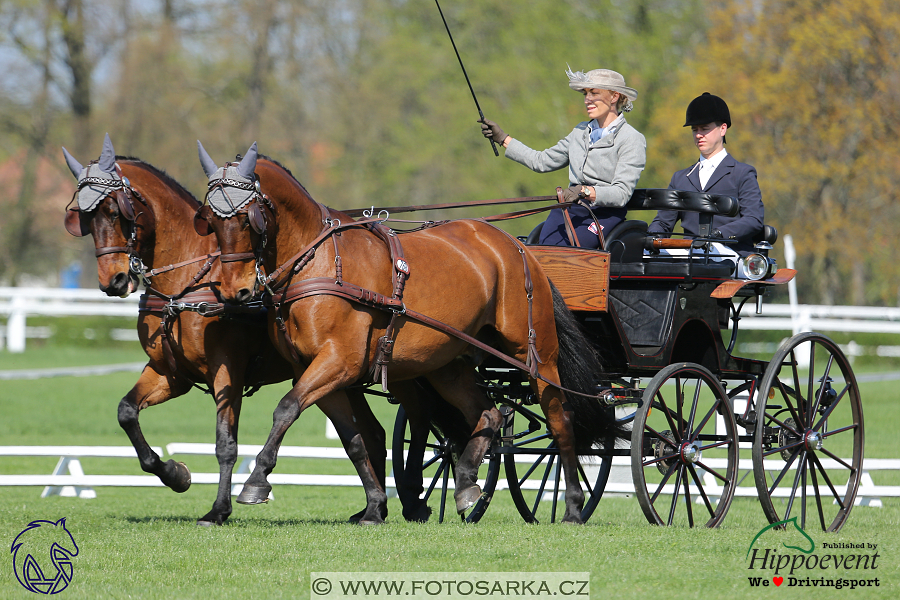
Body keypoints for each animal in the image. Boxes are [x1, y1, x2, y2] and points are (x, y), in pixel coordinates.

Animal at [59, 136, 390, 524]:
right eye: (84, 217)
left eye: (115, 211)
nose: (113, 281)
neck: (186, 285)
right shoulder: (170, 373)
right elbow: (126, 412)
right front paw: (175, 474)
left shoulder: (226, 369)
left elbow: (225, 444)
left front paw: (219, 509)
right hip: (342, 375)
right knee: (370, 434)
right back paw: (374, 507)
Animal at [193, 143, 624, 524]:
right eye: (210, 221)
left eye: (248, 219)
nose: (234, 291)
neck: (318, 262)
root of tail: (518, 248)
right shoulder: (314, 371)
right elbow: (351, 437)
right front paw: (373, 506)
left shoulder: (338, 362)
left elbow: (285, 408)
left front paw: (256, 481)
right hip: (446, 363)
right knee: (486, 412)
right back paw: (465, 484)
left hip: (536, 353)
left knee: (559, 419)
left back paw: (572, 506)